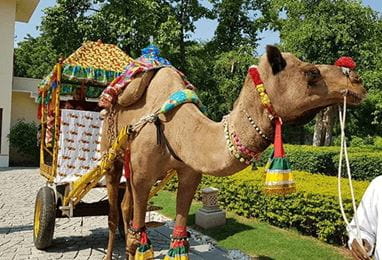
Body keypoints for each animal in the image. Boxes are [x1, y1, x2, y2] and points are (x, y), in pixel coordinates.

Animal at [100, 45, 366, 258]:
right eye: (312, 72)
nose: (357, 81)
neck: (175, 126)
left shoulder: (189, 175)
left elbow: (179, 237)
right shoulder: (144, 175)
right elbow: (138, 236)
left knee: (125, 206)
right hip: (111, 154)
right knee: (114, 212)